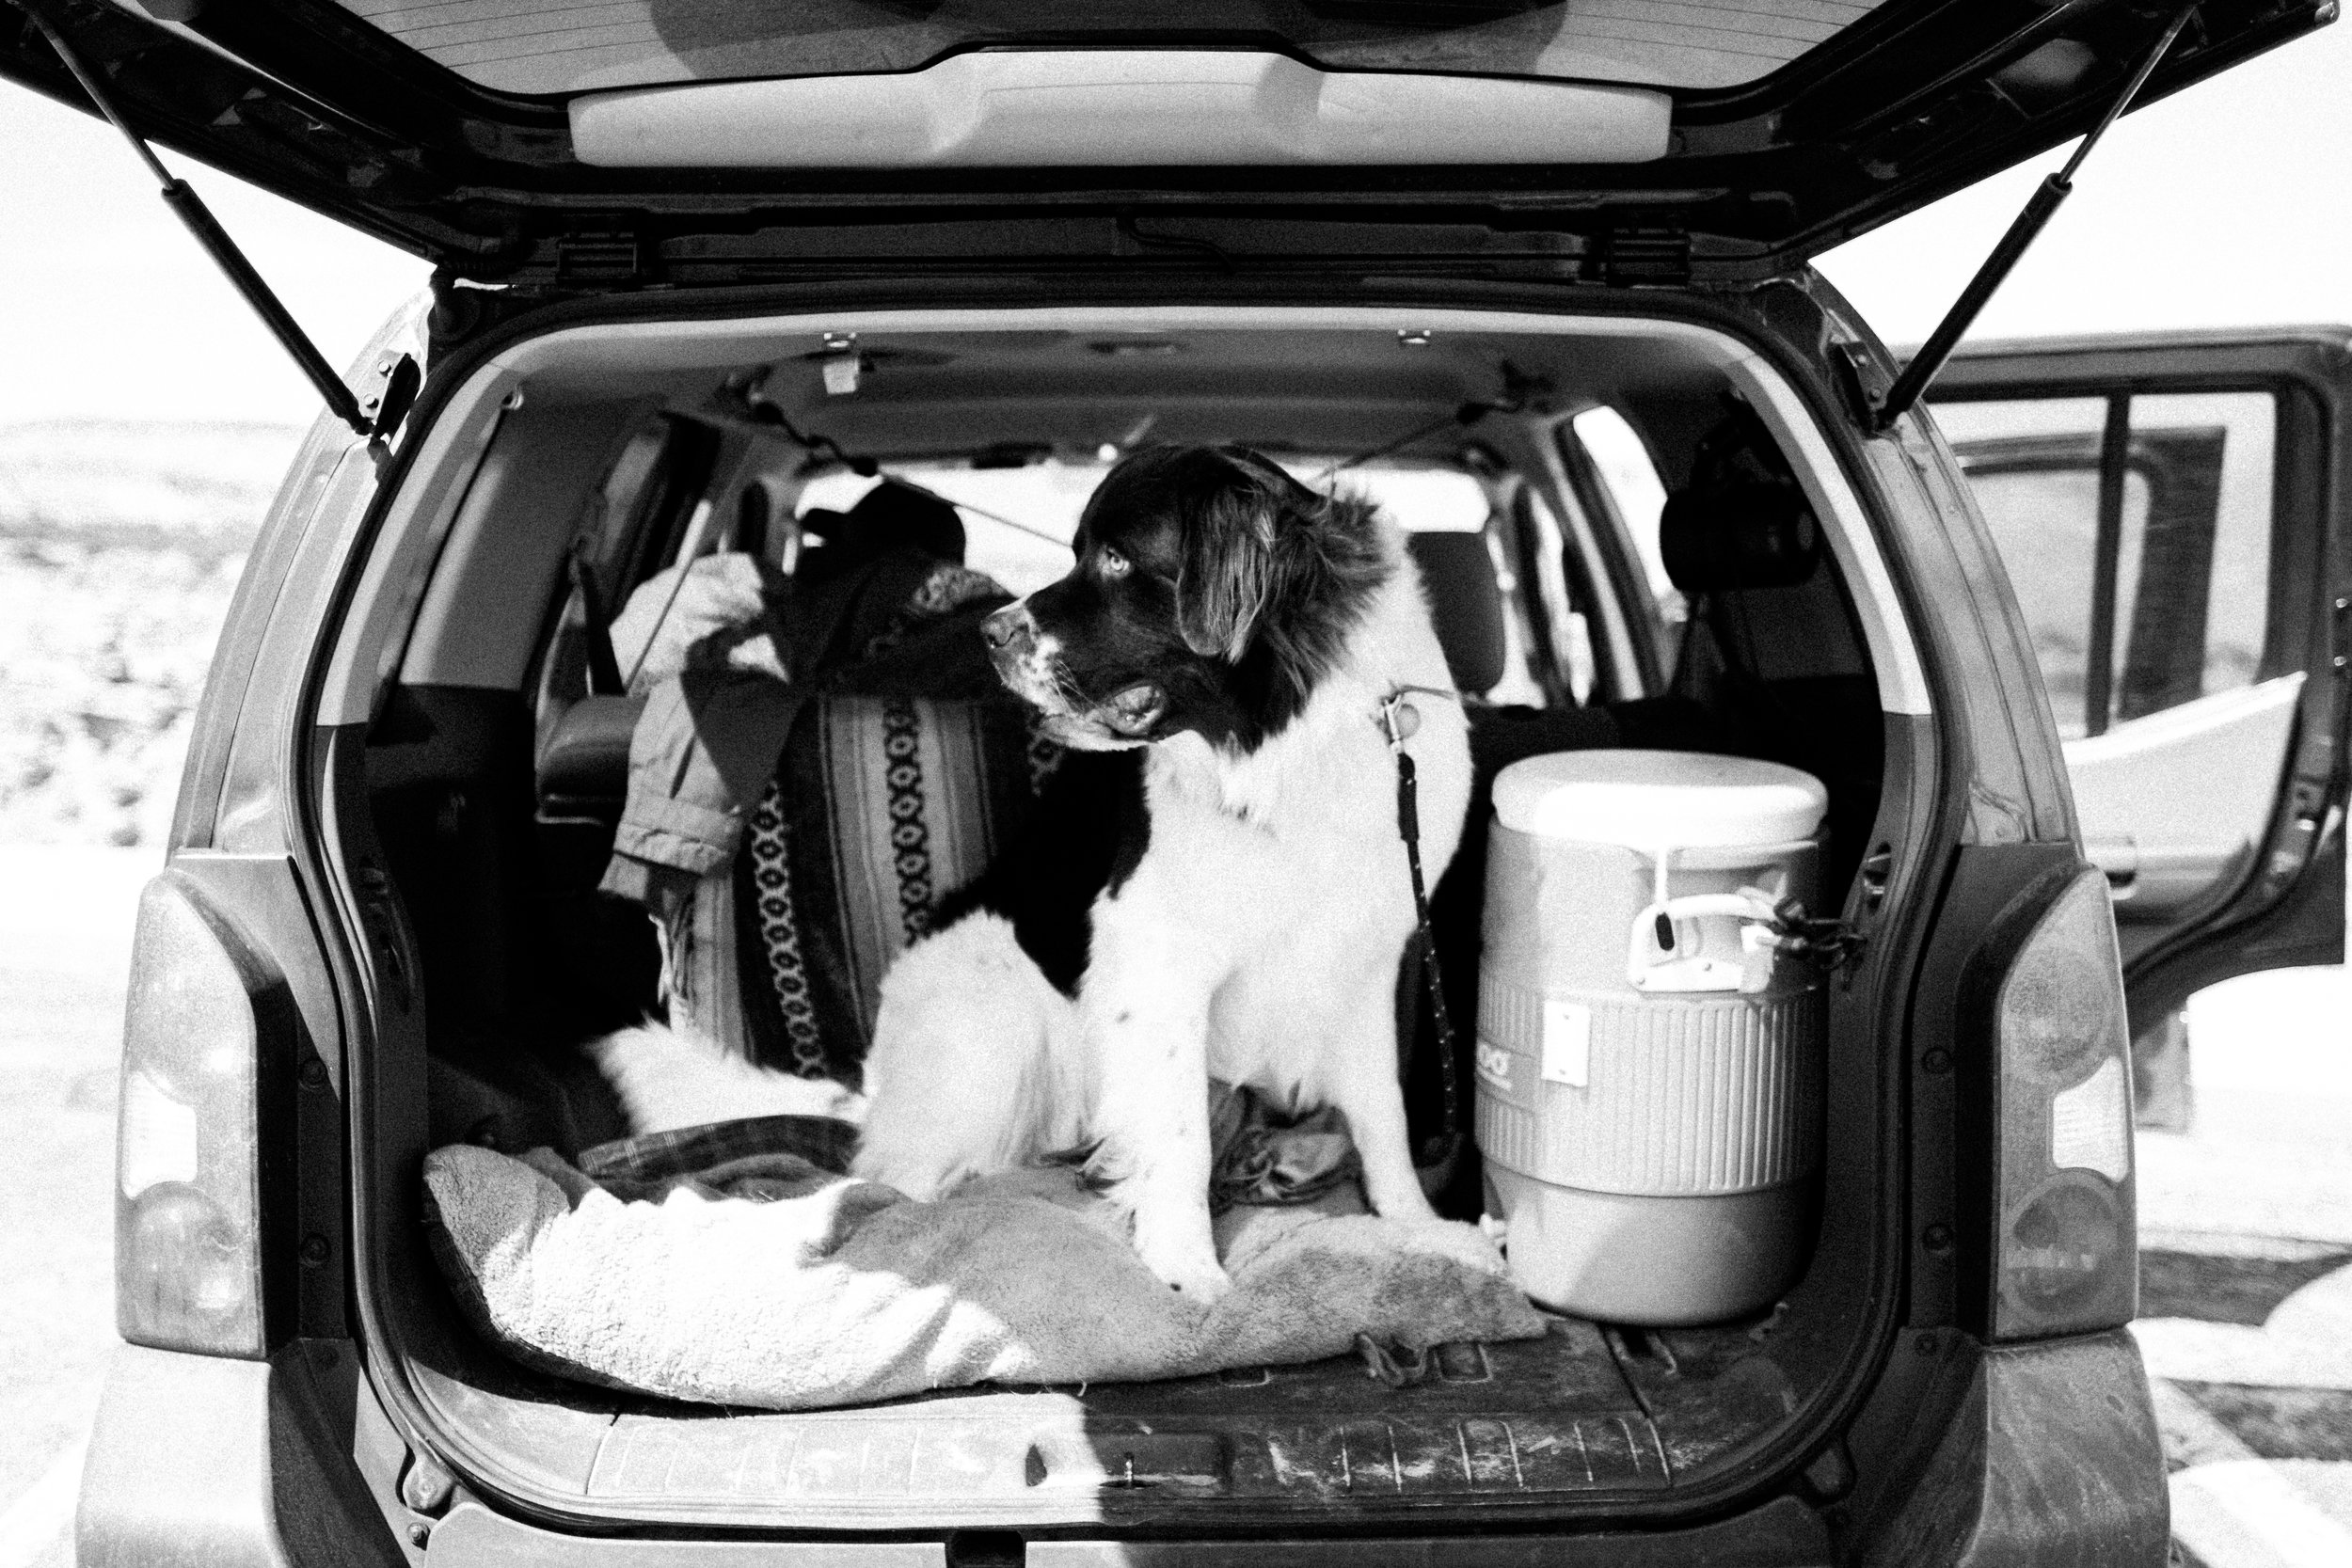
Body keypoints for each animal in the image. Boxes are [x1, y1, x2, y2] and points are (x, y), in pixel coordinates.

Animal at [856, 444, 1458, 1297]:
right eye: (1078, 550)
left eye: (1115, 560)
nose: (989, 631)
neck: (1284, 747)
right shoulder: (1159, 959)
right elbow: (1179, 1131)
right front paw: (1186, 1266)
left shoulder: (1369, 958)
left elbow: (1383, 1111)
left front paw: (1419, 1225)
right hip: (986, 1026)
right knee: (897, 1167)